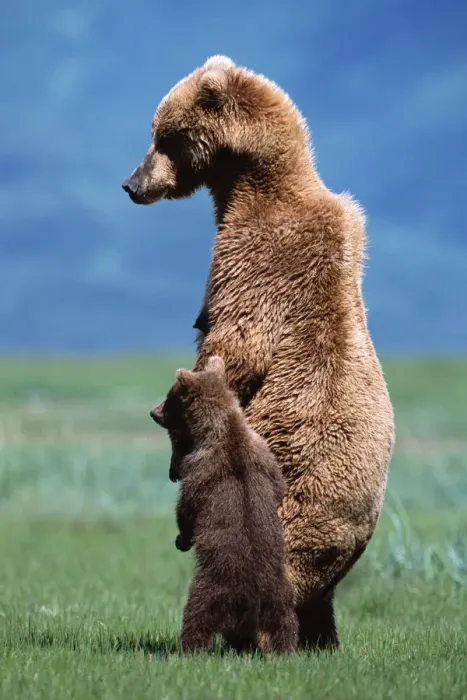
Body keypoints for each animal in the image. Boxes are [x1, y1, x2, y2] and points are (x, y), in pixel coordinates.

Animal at [150, 355, 299, 655]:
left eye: (170, 396)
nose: (153, 412)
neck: (222, 428)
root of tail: (252, 599)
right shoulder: (263, 454)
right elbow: (278, 487)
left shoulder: (200, 468)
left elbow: (187, 506)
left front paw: (182, 538)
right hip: (281, 592)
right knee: (286, 621)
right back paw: (287, 649)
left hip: (213, 587)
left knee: (196, 615)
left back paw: (188, 649)